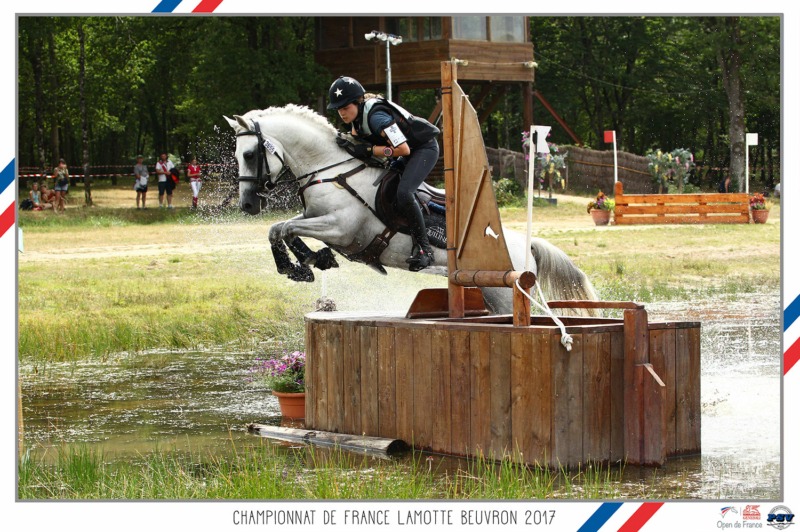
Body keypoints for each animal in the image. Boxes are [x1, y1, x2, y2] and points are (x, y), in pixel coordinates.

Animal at [223, 104, 592, 314]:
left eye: (251, 154)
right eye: (238, 154)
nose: (247, 204)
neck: (329, 169)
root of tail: (527, 244)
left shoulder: (340, 228)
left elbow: (286, 228)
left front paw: (309, 261)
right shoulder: (315, 217)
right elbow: (277, 229)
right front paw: (305, 264)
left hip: (504, 290)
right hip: (489, 291)